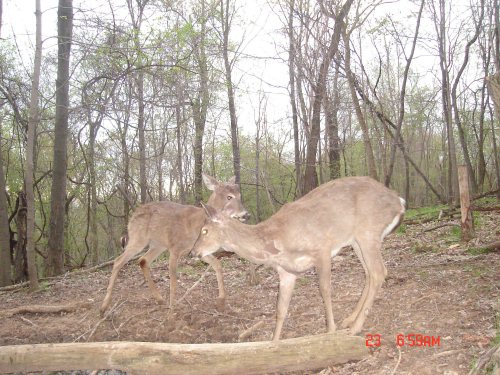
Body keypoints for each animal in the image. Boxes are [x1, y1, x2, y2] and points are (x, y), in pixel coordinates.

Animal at [100, 176, 249, 314]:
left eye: (240, 195)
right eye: (229, 196)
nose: (245, 215)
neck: (197, 224)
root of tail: (132, 217)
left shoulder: (195, 250)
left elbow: (217, 264)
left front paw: (221, 301)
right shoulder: (174, 248)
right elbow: (173, 278)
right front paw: (172, 311)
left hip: (158, 244)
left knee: (142, 260)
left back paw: (160, 299)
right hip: (138, 238)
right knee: (118, 261)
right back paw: (104, 306)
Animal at [191, 176, 406, 340]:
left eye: (205, 230)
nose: (193, 251)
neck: (275, 240)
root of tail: (399, 201)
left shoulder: (322, 249)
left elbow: (325, 291)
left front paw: (330, 330)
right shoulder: (287, 272)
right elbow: (281, 309)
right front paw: (273, 343)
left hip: (368, 231)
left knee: (378, 272)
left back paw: (355, 328)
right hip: (356, 240)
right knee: (369, 273)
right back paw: (350, 319)